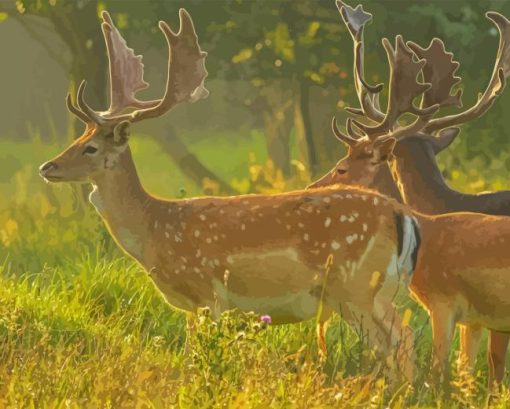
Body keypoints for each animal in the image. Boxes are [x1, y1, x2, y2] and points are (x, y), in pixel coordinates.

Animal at [38, 7, 426, 382]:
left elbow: (198, 359)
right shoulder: (192, 308)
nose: (47, 166)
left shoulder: (208, 293)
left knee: (399, 339)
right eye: (79, 138)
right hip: (375, 290)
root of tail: (402, 216)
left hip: (356, 286)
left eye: (89, 148)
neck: (155, 229)